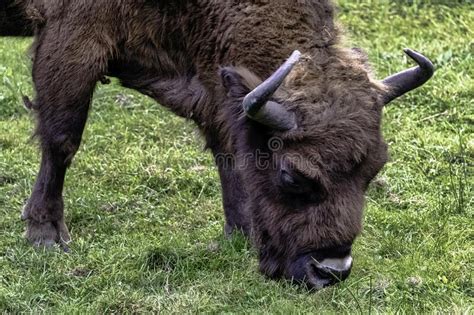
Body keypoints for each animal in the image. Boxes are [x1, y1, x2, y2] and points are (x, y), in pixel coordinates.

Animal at [2, 0, 434, 290]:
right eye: (292, 175)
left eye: (374, 169)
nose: (331, 271)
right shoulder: (71, 40)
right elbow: (61, 140)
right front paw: (45, 234)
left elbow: (228, 151)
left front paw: (238, 232)